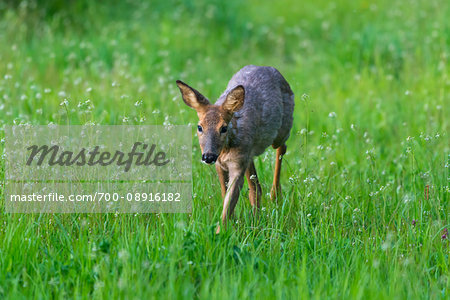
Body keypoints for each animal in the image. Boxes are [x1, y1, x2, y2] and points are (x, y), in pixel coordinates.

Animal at [176, 65, 296, 232]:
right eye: (199, 127)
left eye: (223, 128)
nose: (208, 156)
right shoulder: (222, 164)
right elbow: (224, 194)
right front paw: (231, 225)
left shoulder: (237, 164)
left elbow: (229, 200)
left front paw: (220, 232)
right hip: (249, 156)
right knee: (256, 187)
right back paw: (257, 217)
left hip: (282, 130)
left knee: (281, 148)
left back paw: (275, 195)